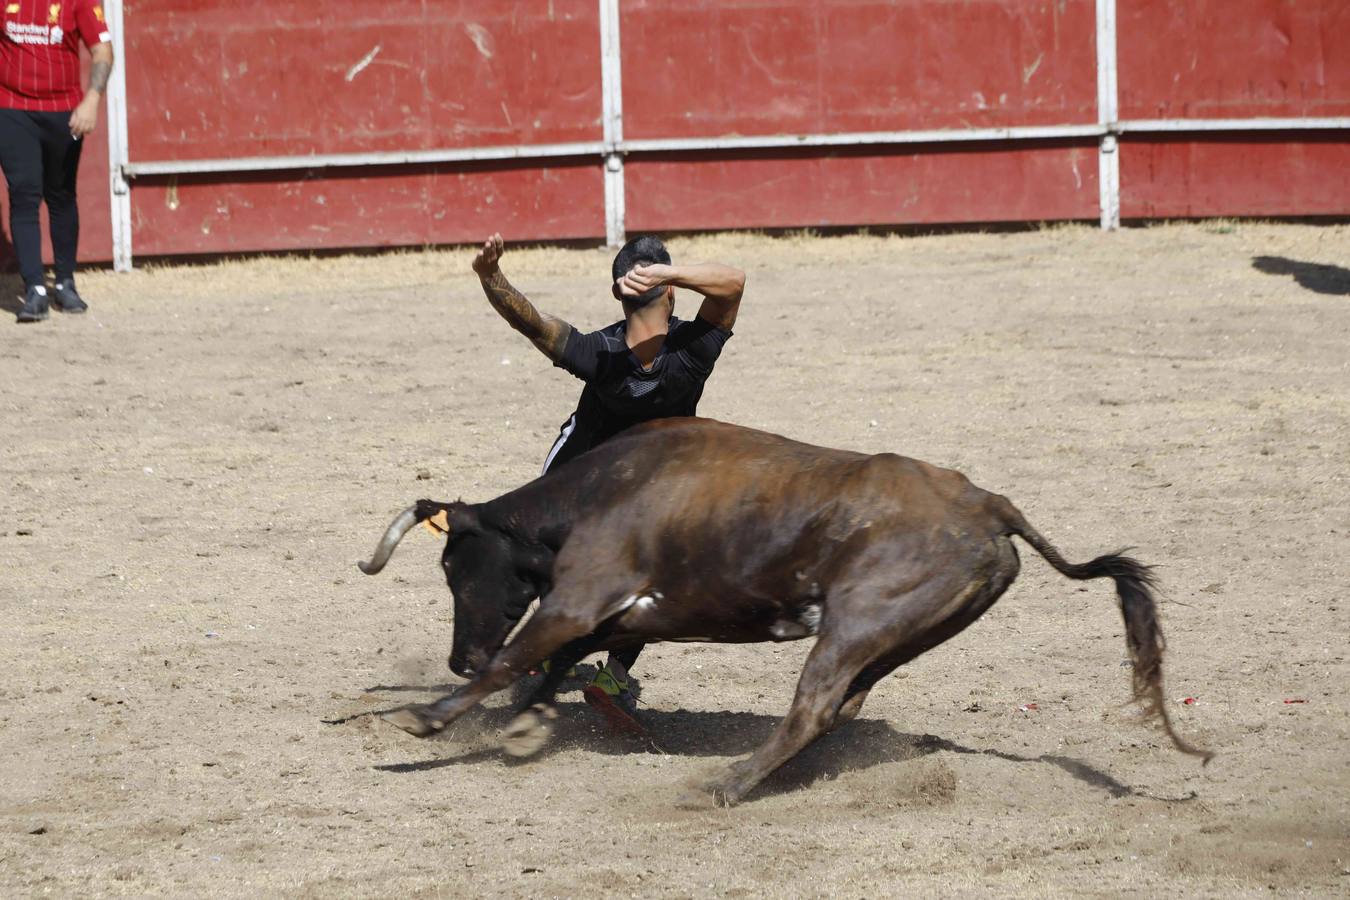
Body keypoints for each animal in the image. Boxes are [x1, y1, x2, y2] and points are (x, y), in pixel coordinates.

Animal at [359, 415, 1215, 804]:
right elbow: (556, 660)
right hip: (898, 637)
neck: (601, 491)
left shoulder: (579, 597)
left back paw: (727, 784)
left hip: (856, 624)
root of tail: (986, 504)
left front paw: (425, 720)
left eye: (454, 564)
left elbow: (524, 652)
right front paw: (526, 724)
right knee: (839, 707)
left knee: (811, 708)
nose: (457, 659)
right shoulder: (612, 614)